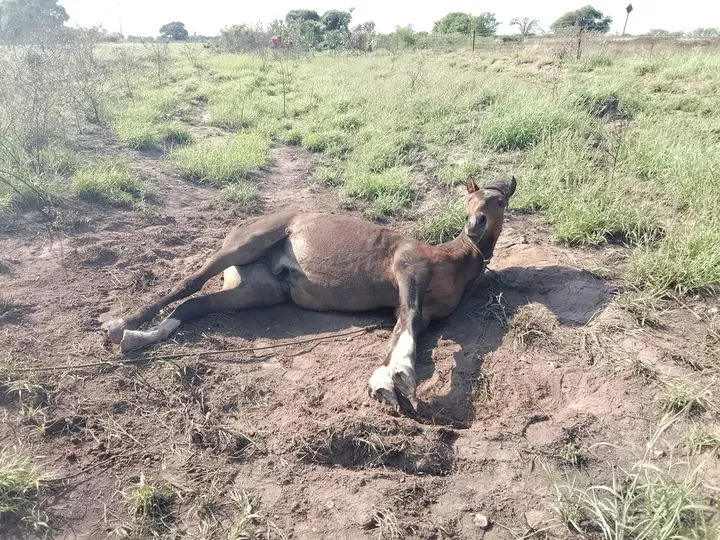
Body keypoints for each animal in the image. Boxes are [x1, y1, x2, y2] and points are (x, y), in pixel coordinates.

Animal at [103, 176, 517, 410]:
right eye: (469, 199)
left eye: (500, 201)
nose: (475, 225)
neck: (453, 258)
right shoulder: (407, 272)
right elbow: (408, 324)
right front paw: (397, 376)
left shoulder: (418, 310)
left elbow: (405, 328)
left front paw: (386, 380)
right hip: (242, 247)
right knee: (188, 285)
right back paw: (122, 324)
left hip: (257, 291)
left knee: (194, 305)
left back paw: (140, 337)